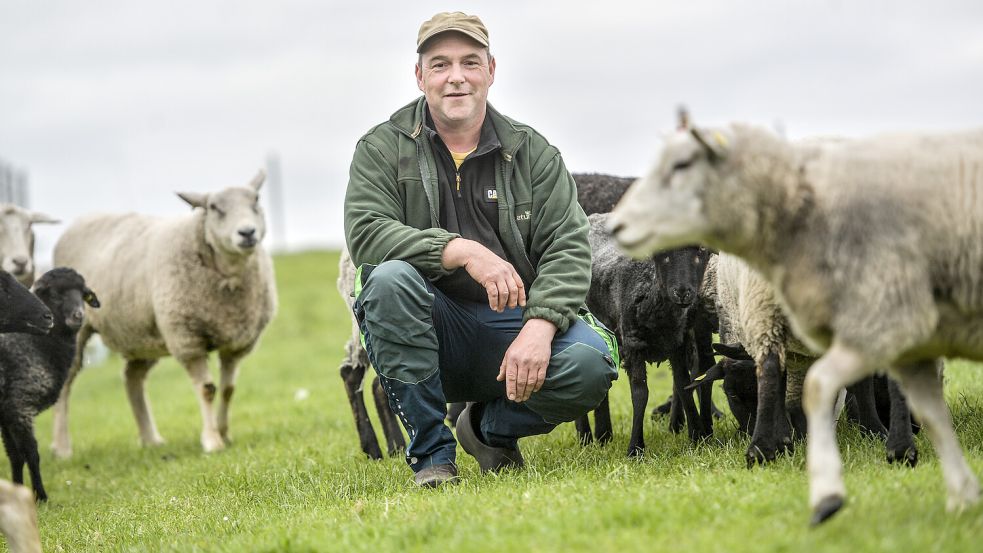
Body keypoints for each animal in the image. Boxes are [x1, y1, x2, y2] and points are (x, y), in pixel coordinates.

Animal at [0, 268, 99, 500]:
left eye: (83, 294)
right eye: (54, 294)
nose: (78, 316)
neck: (37, 346)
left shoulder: (7, 414)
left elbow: (14, 456)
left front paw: (17, 492)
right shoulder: (20, 405)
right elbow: (31, 453)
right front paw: (41, 496)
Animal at [50, 171, 276, 458]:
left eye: (256, 199)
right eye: (214, 207)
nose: (247, 232)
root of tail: (79, 220)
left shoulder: (235, 343)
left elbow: (228, 390)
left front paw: (225, 434)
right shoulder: (187, 339)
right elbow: (208, 390)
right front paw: (212, 440)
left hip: (140, 333)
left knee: (132, 379)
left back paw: (150, 439)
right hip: (76, 328)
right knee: (66, 382)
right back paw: (62, 448)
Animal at [580, 211, 712, 452]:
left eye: (701, 249)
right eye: (662, 251)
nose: (682, 292)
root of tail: (596, 216)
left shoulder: (677, 344)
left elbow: (683, 386)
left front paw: (697, 436)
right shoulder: (634, 345)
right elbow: (640, 394)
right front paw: (635, 448)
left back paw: (604, 436)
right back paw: (586, 436)